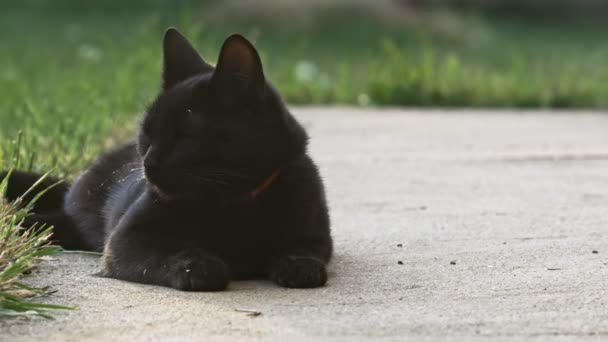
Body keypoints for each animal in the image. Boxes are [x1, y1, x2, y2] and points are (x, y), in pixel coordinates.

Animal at [1, 28, 332, 292]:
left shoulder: (315, 231)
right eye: (147, 134)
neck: (232, 204)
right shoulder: (126, 239)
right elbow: (168, 254)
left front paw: (299, 265)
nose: (148, 162)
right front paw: (199, 265)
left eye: (185, 137)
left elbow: (306, 249)